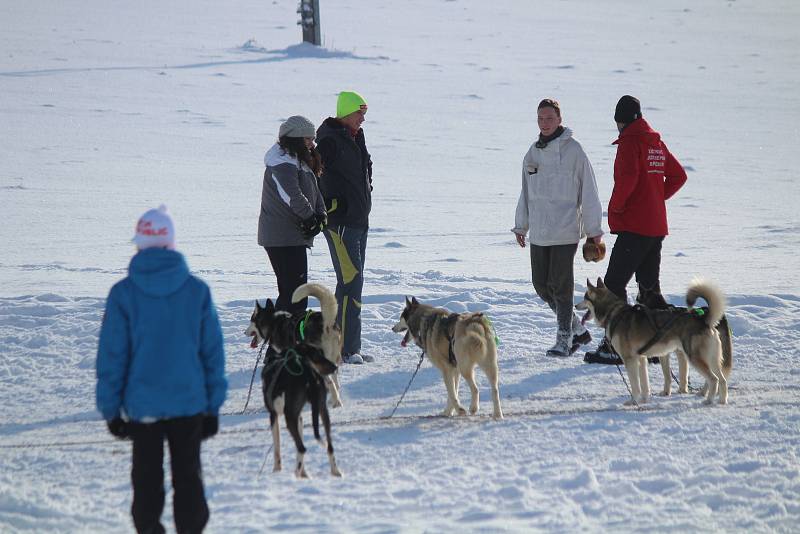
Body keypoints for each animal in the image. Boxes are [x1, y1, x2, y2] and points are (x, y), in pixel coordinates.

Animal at [260, 348, 340, 482]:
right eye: (318, 356)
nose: (335, 367)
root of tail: (309, 373)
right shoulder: (299, 417)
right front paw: (305, 473)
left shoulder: (274, 415)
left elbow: (277, 448)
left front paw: (277, 471)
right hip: (323, 411)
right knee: (329, 446)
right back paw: (336, 472)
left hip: (289, 417)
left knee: (302, 448)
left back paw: (295, 476)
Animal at [576, 280, 732, 406]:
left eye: (585, 297)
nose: (575, 305)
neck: (613, 313)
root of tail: (704, 320)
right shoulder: (641, 359)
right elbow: (645, 385)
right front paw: (644, 400)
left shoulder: (630, 360)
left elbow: (635, 386)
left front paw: (633, 401)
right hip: (712, 359)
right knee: (722, 380)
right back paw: (722, 400)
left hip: (695, 358)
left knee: (714, 380)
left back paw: (709, 401)